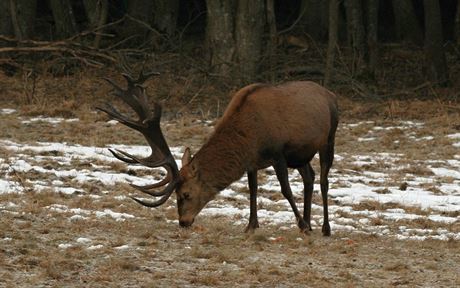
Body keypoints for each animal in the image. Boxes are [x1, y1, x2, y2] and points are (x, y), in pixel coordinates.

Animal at [98, 71, 338, 236]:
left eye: (185, 194)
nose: (183, 222)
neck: (249, 136)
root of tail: (330, 94)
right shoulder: (253, 161)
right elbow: (252, 190)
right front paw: (251, 225)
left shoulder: (278, 153)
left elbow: (285, 190)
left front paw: (302, 225)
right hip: (301, 155)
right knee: (309, 176)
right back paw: (311, 223)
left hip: (329, 138)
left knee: (324, 180)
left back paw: (324, 227)